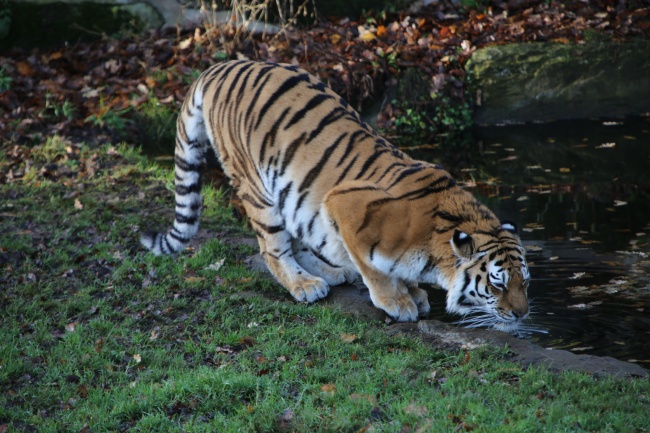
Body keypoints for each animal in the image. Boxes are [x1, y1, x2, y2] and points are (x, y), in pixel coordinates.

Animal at [141, 60, 531, 329]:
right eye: (497, 284)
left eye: (524, 281)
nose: (522, 314)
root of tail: (221, 66)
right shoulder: (343, 205)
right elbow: (373, 269)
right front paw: (397, 302)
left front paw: (414, 293)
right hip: (259, 188)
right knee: (273, 247)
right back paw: (303, 284)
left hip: (291, 193)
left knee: (297, 237)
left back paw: (328, 273)